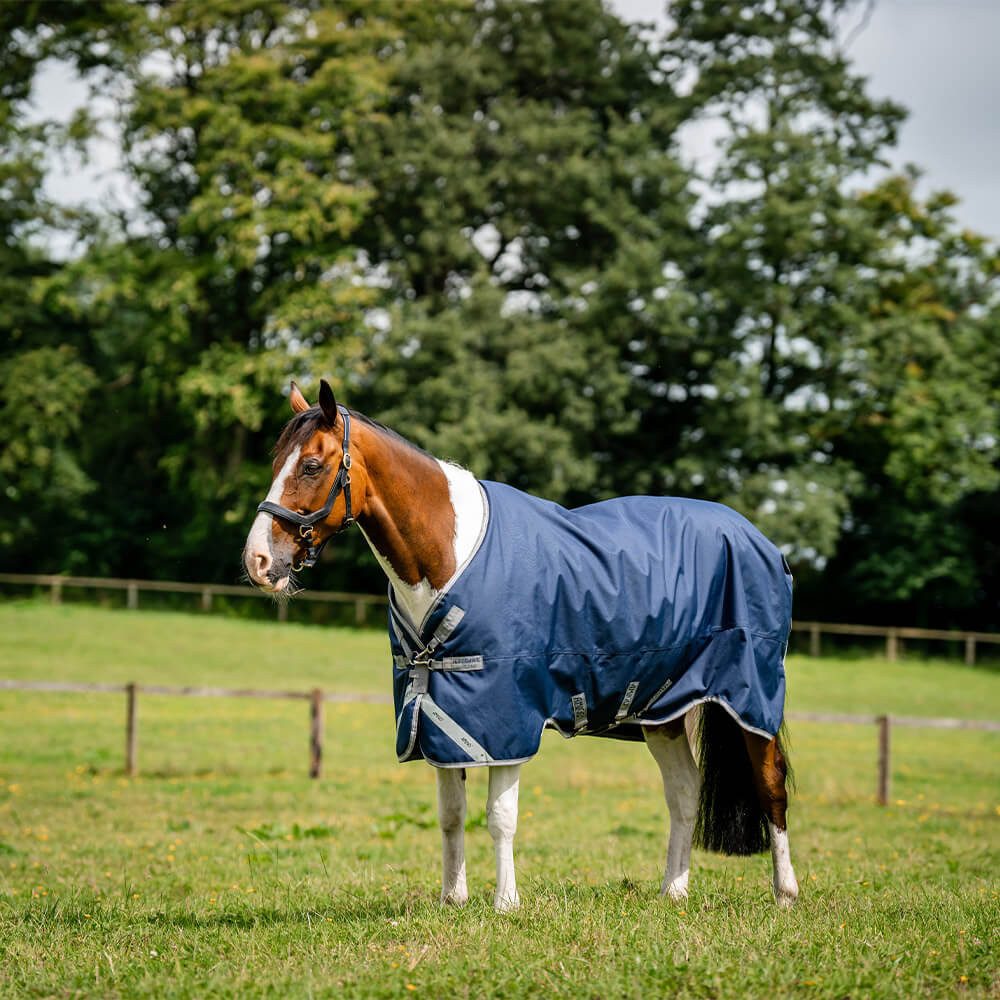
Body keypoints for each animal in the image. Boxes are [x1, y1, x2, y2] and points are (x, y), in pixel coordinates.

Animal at [243, 380, 800, 911]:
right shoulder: (441, 718)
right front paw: (452, 898)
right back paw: (674, 891)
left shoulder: (505, 719)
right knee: (684, 792)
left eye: (311, 465)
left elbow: (500, 816)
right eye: (274, 463)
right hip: (662, 709)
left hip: (749, 698)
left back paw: (785, 893)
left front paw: (505, 903)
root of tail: (759, 540)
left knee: (770, 786)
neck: (448, 553)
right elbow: (451, 814)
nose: (258, 561)